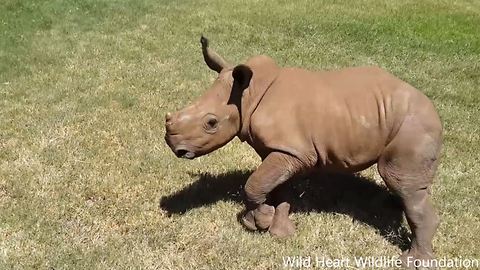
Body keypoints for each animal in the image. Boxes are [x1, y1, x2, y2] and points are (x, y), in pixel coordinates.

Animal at [165, 36, 442, 270]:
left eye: (211, 123)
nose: (174, 147)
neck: (248, 96)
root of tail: (434, 111)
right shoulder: (284, 150)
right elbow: (277, 189)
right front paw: (279, 232)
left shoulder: (293, 151)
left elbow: (254, 184)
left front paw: (258, 223)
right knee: (407, 187)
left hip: (414, 125)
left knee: (402, 183)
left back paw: (413, 262)